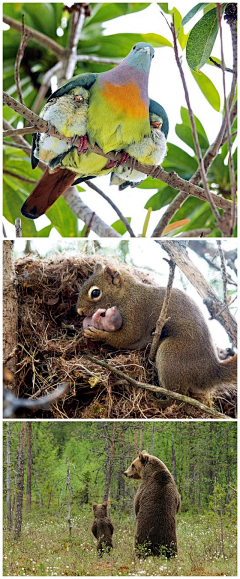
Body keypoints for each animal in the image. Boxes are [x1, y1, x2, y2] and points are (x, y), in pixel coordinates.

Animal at [77, 262, 236, 398]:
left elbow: (128, 336)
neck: (126, 295)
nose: (79, 311)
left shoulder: (136, 312)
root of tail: (210, 371)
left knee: (178, 395)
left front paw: (97, 334)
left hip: (171, 354)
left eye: (95, 293)